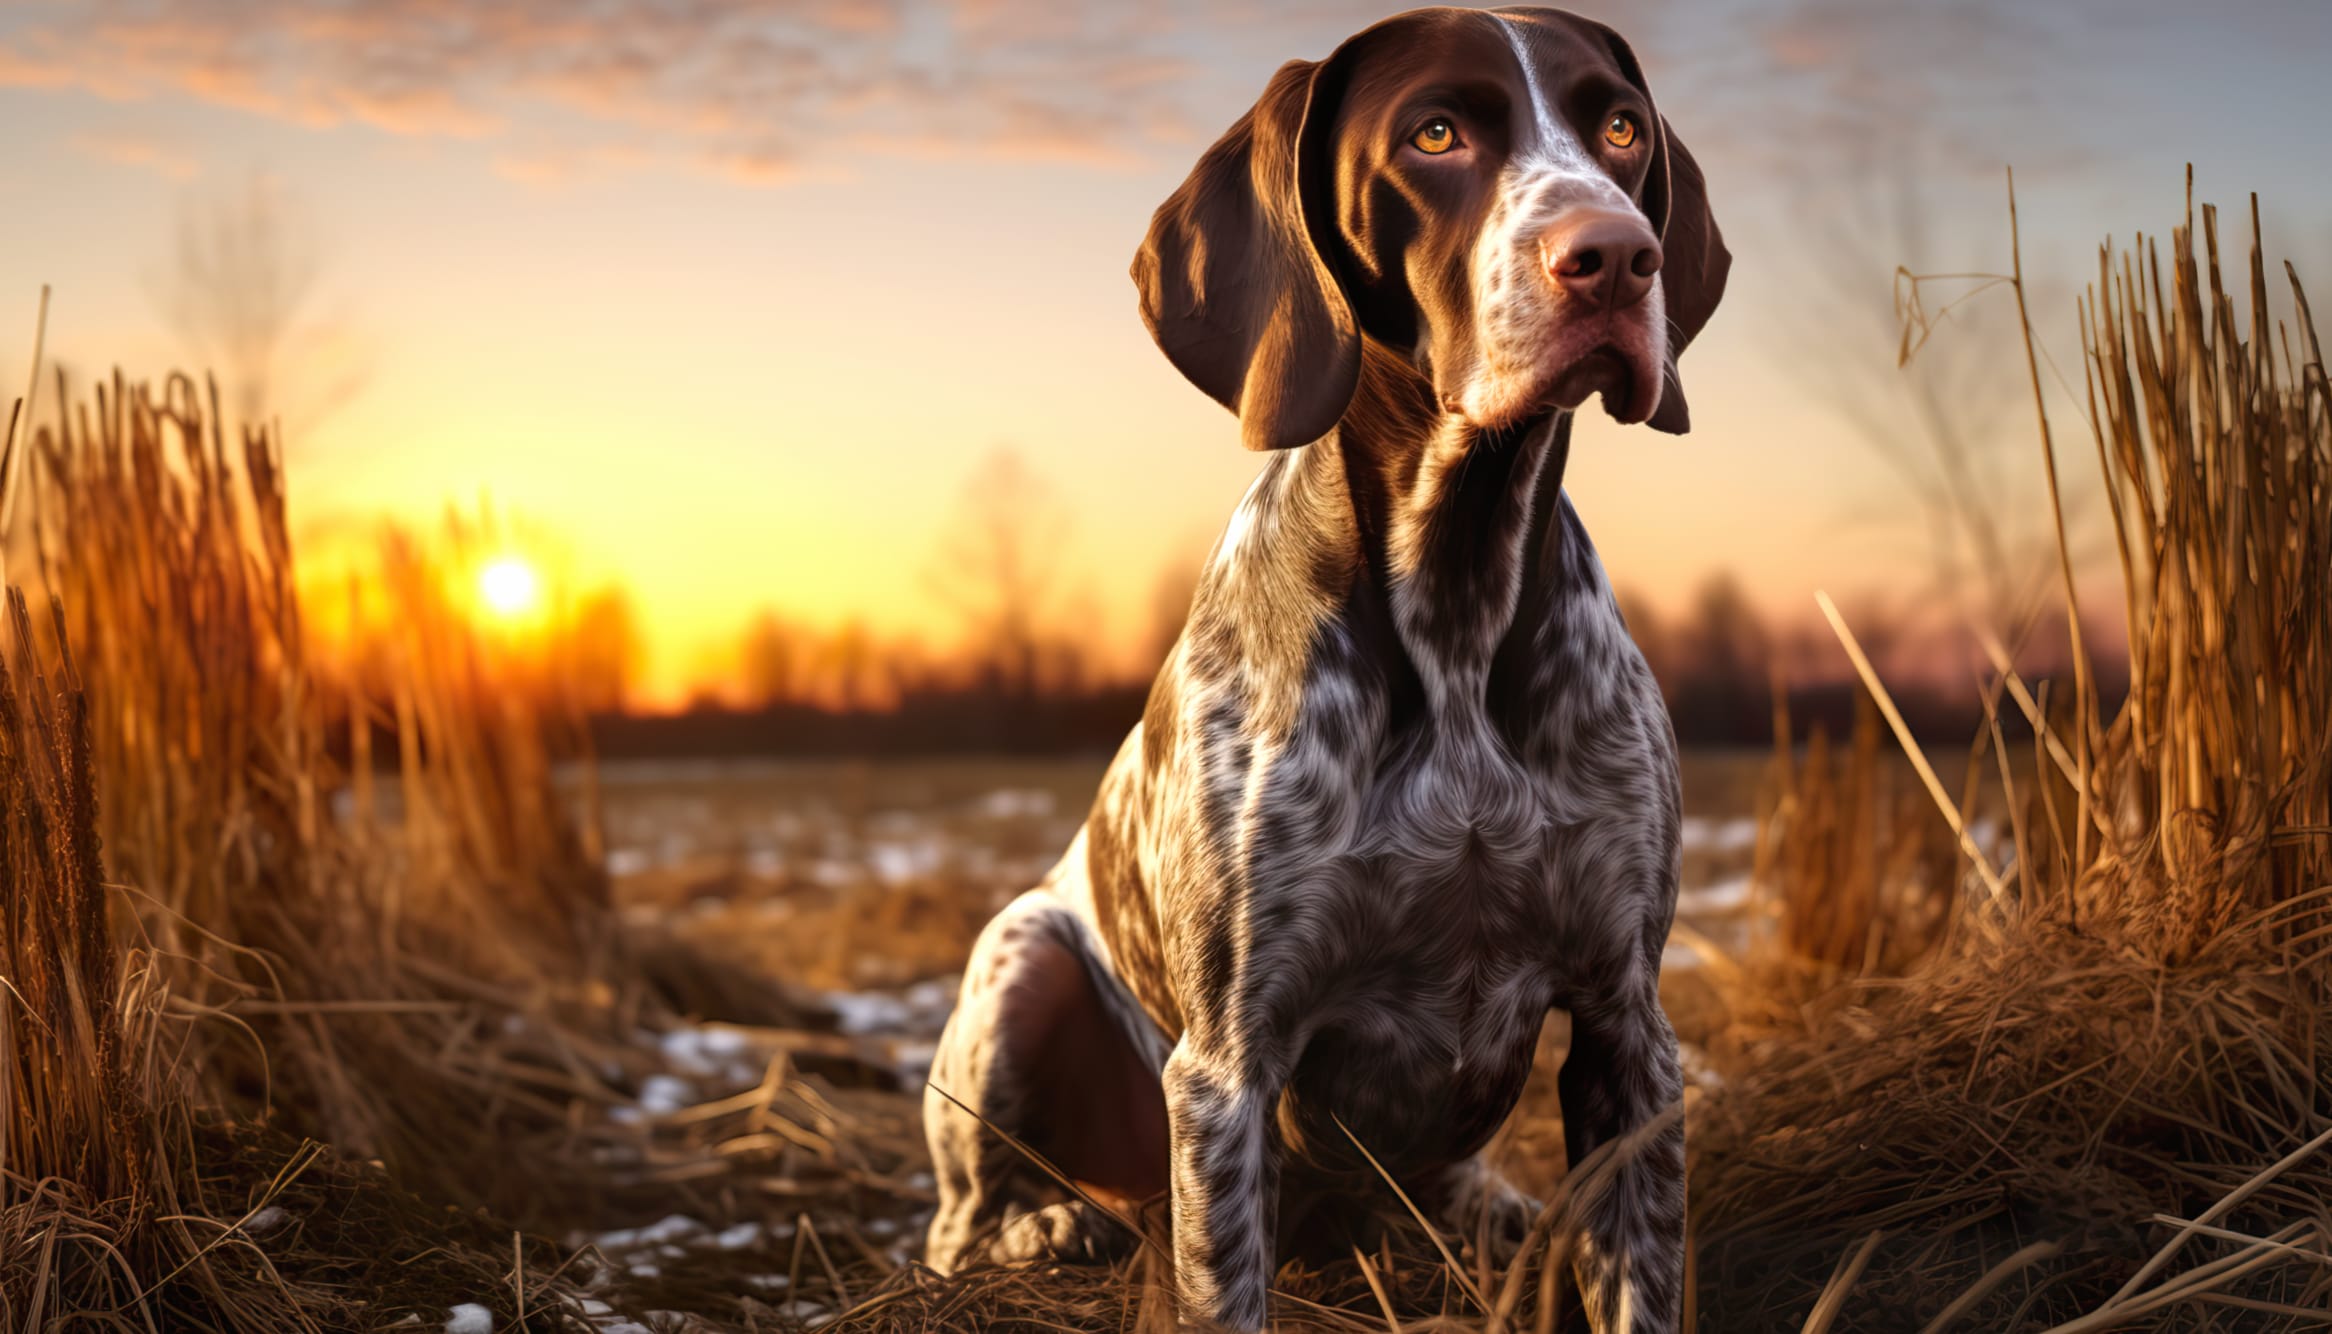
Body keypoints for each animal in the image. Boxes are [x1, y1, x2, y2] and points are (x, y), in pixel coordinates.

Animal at [918, 7, 1725, 1324]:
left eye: (1618, 128)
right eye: (1435, 134)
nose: (1615, 255)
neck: (1456, 599)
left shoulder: (1625, 1025)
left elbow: (1639, 1276)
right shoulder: (1227, 1067)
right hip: (1022, 957)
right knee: (960, 1219)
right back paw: (1045, 1224)